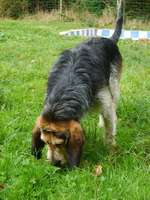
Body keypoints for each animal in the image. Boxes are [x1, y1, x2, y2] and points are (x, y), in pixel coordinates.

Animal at [31, 0, 123, 168]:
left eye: (60, 143)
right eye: (45, 142)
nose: (54, 163)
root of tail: (109, 39)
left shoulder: (105, 102)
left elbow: (109, 131)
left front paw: (111, 151)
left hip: (114, 85)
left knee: (112, 106)